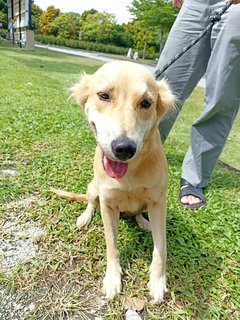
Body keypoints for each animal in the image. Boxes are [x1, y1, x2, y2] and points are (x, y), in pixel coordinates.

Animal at [51, 61, 174, 304]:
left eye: (146, 103)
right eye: (104, 96)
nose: (124, 148)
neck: (130, 171)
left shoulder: (158, 203)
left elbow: (161, 248)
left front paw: (157, 281)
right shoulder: (107, 204)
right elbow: (111, 246)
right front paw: (112, 278)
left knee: (138, 212)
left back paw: (142, 221)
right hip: (92, 188)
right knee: (91, 203)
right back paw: (85, 217)